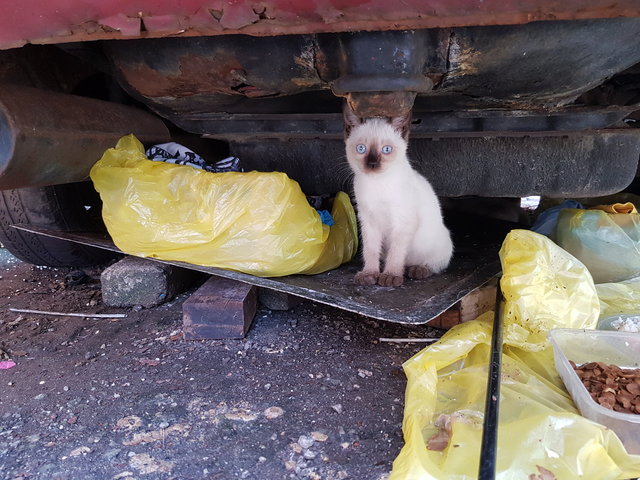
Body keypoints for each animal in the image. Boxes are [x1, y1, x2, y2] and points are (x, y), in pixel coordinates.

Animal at [342, 103, 452, 286]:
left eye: (386, 150)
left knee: (434, 264)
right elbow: (370, 250)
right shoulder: (368, 220)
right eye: (361, 149)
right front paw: (370, 274)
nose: (372, 164)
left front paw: (391, 276)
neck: (377, 185)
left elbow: (396, 252)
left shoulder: (403, 221)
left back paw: (417, 270)